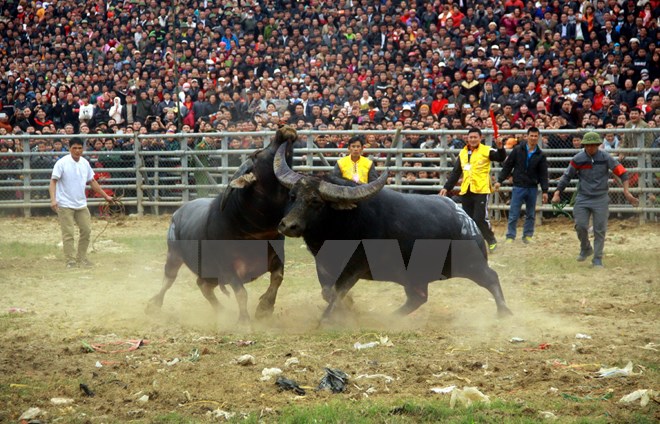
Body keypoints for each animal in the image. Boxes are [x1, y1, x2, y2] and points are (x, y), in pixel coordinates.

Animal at [148, 126, 300, 322]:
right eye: (258, 153)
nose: (283, 130)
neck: (253, 231)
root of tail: (177, 213)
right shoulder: (228, 268)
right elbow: (241, 293)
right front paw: (244, 319)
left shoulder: (276, 257)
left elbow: (278, 278)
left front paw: (264, 308)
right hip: (174, 255)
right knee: (168, 280)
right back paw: (153, 305)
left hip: (209, 274)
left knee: (203, 285)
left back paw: (220, 310)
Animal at [272, 144, 510, 320]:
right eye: (293, 196)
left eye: (316, 202)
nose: (288, 225)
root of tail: (466, 219)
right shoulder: (324, 265)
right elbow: (328, 292)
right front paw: (348, 307)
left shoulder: (355, 267)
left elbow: (337, 292)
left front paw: (327, 318)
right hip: (414, 276)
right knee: (418, 298)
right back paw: (392, 317)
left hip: (471, 264)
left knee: (492, 277)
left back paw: (504, 312)